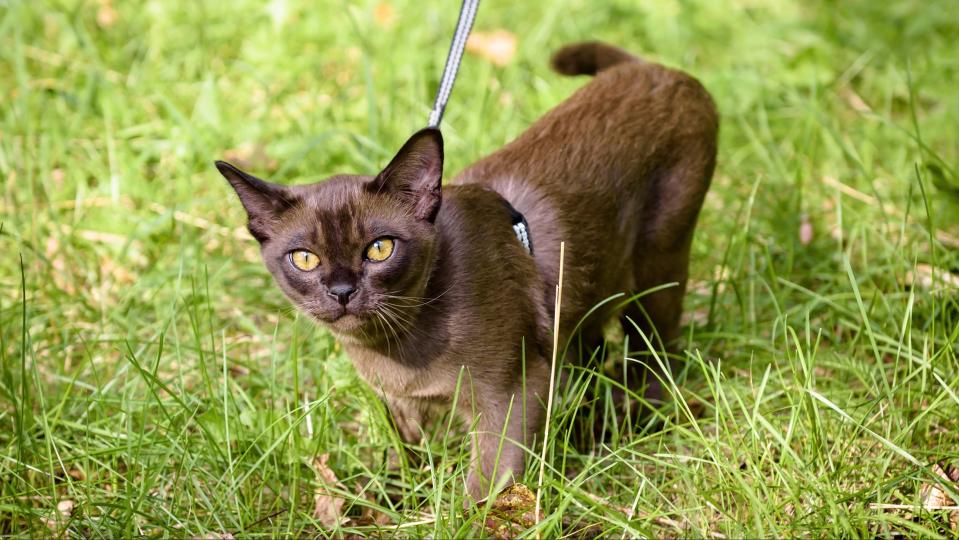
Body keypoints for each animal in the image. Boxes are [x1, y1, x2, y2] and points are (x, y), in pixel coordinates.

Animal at [216, 42, 712, 502]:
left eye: (379, 249)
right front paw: (395, 501)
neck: (396, 350)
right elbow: (408, 461)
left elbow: (484, 491)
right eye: (305, 258)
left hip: (657, 270)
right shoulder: (400, 405)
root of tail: (648, 68)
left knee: (657, 353)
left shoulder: (510, 397)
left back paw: (639, 420)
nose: (342, 290)